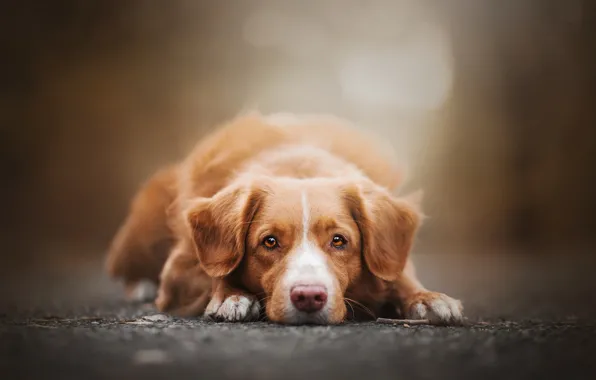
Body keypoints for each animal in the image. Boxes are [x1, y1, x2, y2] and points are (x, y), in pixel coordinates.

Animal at [105, 111, 464, 326]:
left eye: (339, 240)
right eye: (270, 242)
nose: (309, 297)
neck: (297, 166)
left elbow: (399, 275)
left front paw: (427, 298)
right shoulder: (178, 270)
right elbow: (211, 274)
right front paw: (231, 295)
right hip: (141, 235)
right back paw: (139, 286)